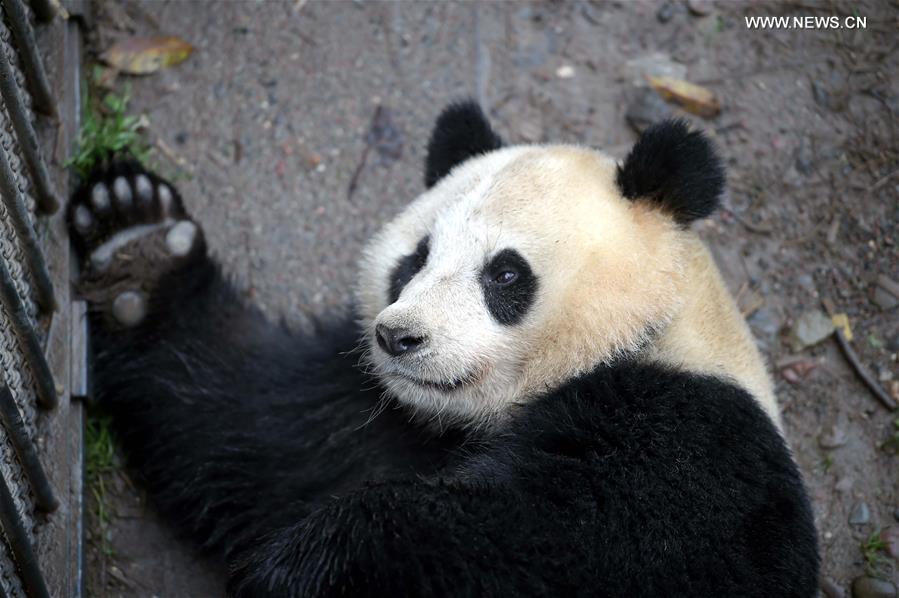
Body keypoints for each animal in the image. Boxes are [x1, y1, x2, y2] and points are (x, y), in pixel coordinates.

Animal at [67, 101, 819, 597]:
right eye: (414, 260)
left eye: (505, 274)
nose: (398, 337)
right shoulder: (376, 415)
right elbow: (249, 434)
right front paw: (137, 250)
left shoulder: (687, 442)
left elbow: (548, 547)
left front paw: (317, 565)